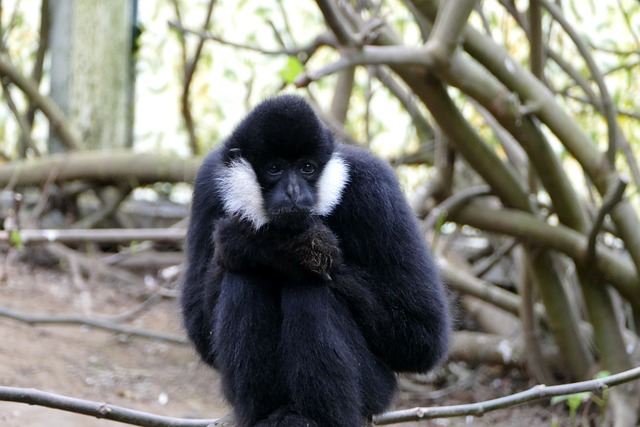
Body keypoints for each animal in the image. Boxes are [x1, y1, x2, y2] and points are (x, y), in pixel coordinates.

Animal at [180, 94, 450, 427]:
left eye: (307, 168)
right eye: (274, 169)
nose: (293, 191)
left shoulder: (375, 185)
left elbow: (423, 336)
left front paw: (275, 248)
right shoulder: (209, 181)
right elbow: (200, 330)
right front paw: (267, 247)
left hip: (378, 391)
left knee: (310, 290)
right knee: (244, 278)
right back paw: (267, 414)